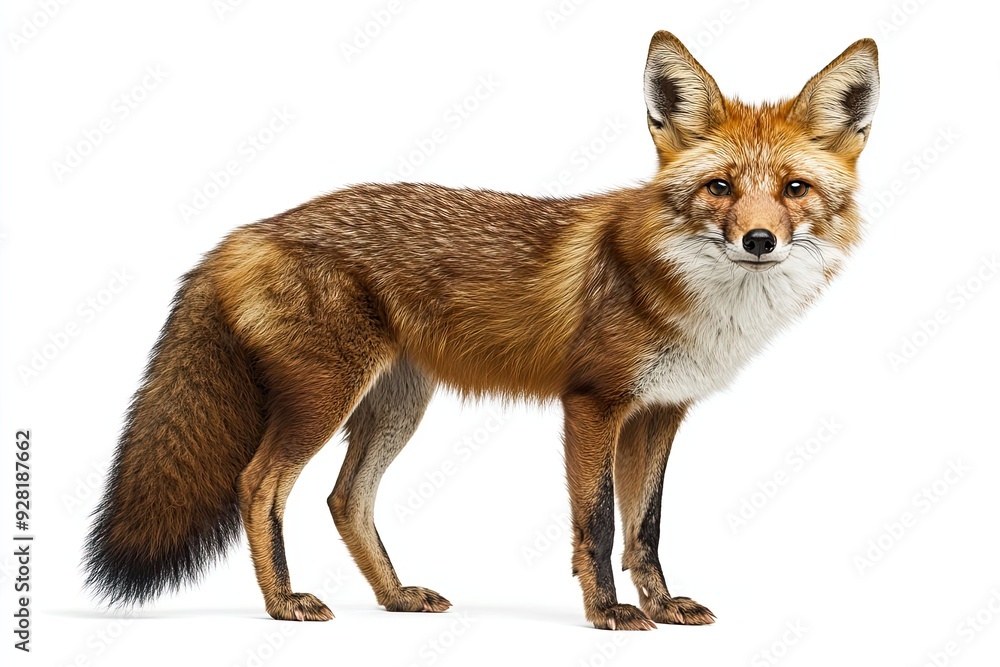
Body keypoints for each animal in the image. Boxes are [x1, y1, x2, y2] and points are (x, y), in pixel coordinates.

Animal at [84, 31, 879, 630]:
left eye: (794, 190)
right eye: (719, 187)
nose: (758, 240)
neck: (697, 296)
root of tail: (243, 233)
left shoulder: (660, 411)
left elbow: (645, 529)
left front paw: (660, 604)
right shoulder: (592, 405)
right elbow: (598, 525)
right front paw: (607, 613)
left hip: (396, 404)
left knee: (346, 497)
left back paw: (393, 596)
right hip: (327, 397)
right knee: (259, 484)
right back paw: (283, 602)